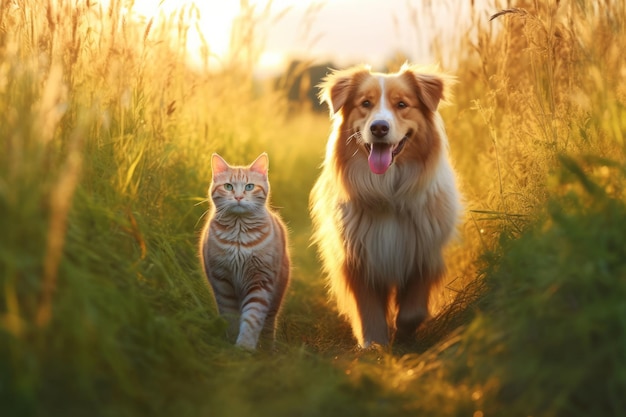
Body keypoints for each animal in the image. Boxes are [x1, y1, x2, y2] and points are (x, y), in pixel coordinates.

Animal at [197, 151, 290, 350]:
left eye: (249, 187)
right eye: (228, 186)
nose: (239, 197)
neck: (239, 237)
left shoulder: (260, 281)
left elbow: (252, 317)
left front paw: (244, 346)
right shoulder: (222, 282)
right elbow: (231, 316)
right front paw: (232, 341)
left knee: (269, 322)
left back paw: (268, 347)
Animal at [308, 63, 460, 346]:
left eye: (402, 104)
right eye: (365, 103)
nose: (379, 127)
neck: (387, 191)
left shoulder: (423, 254)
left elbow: (413, 309)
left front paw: (404, 334)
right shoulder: (358, 261)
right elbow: (369, 311)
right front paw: (375, 344)